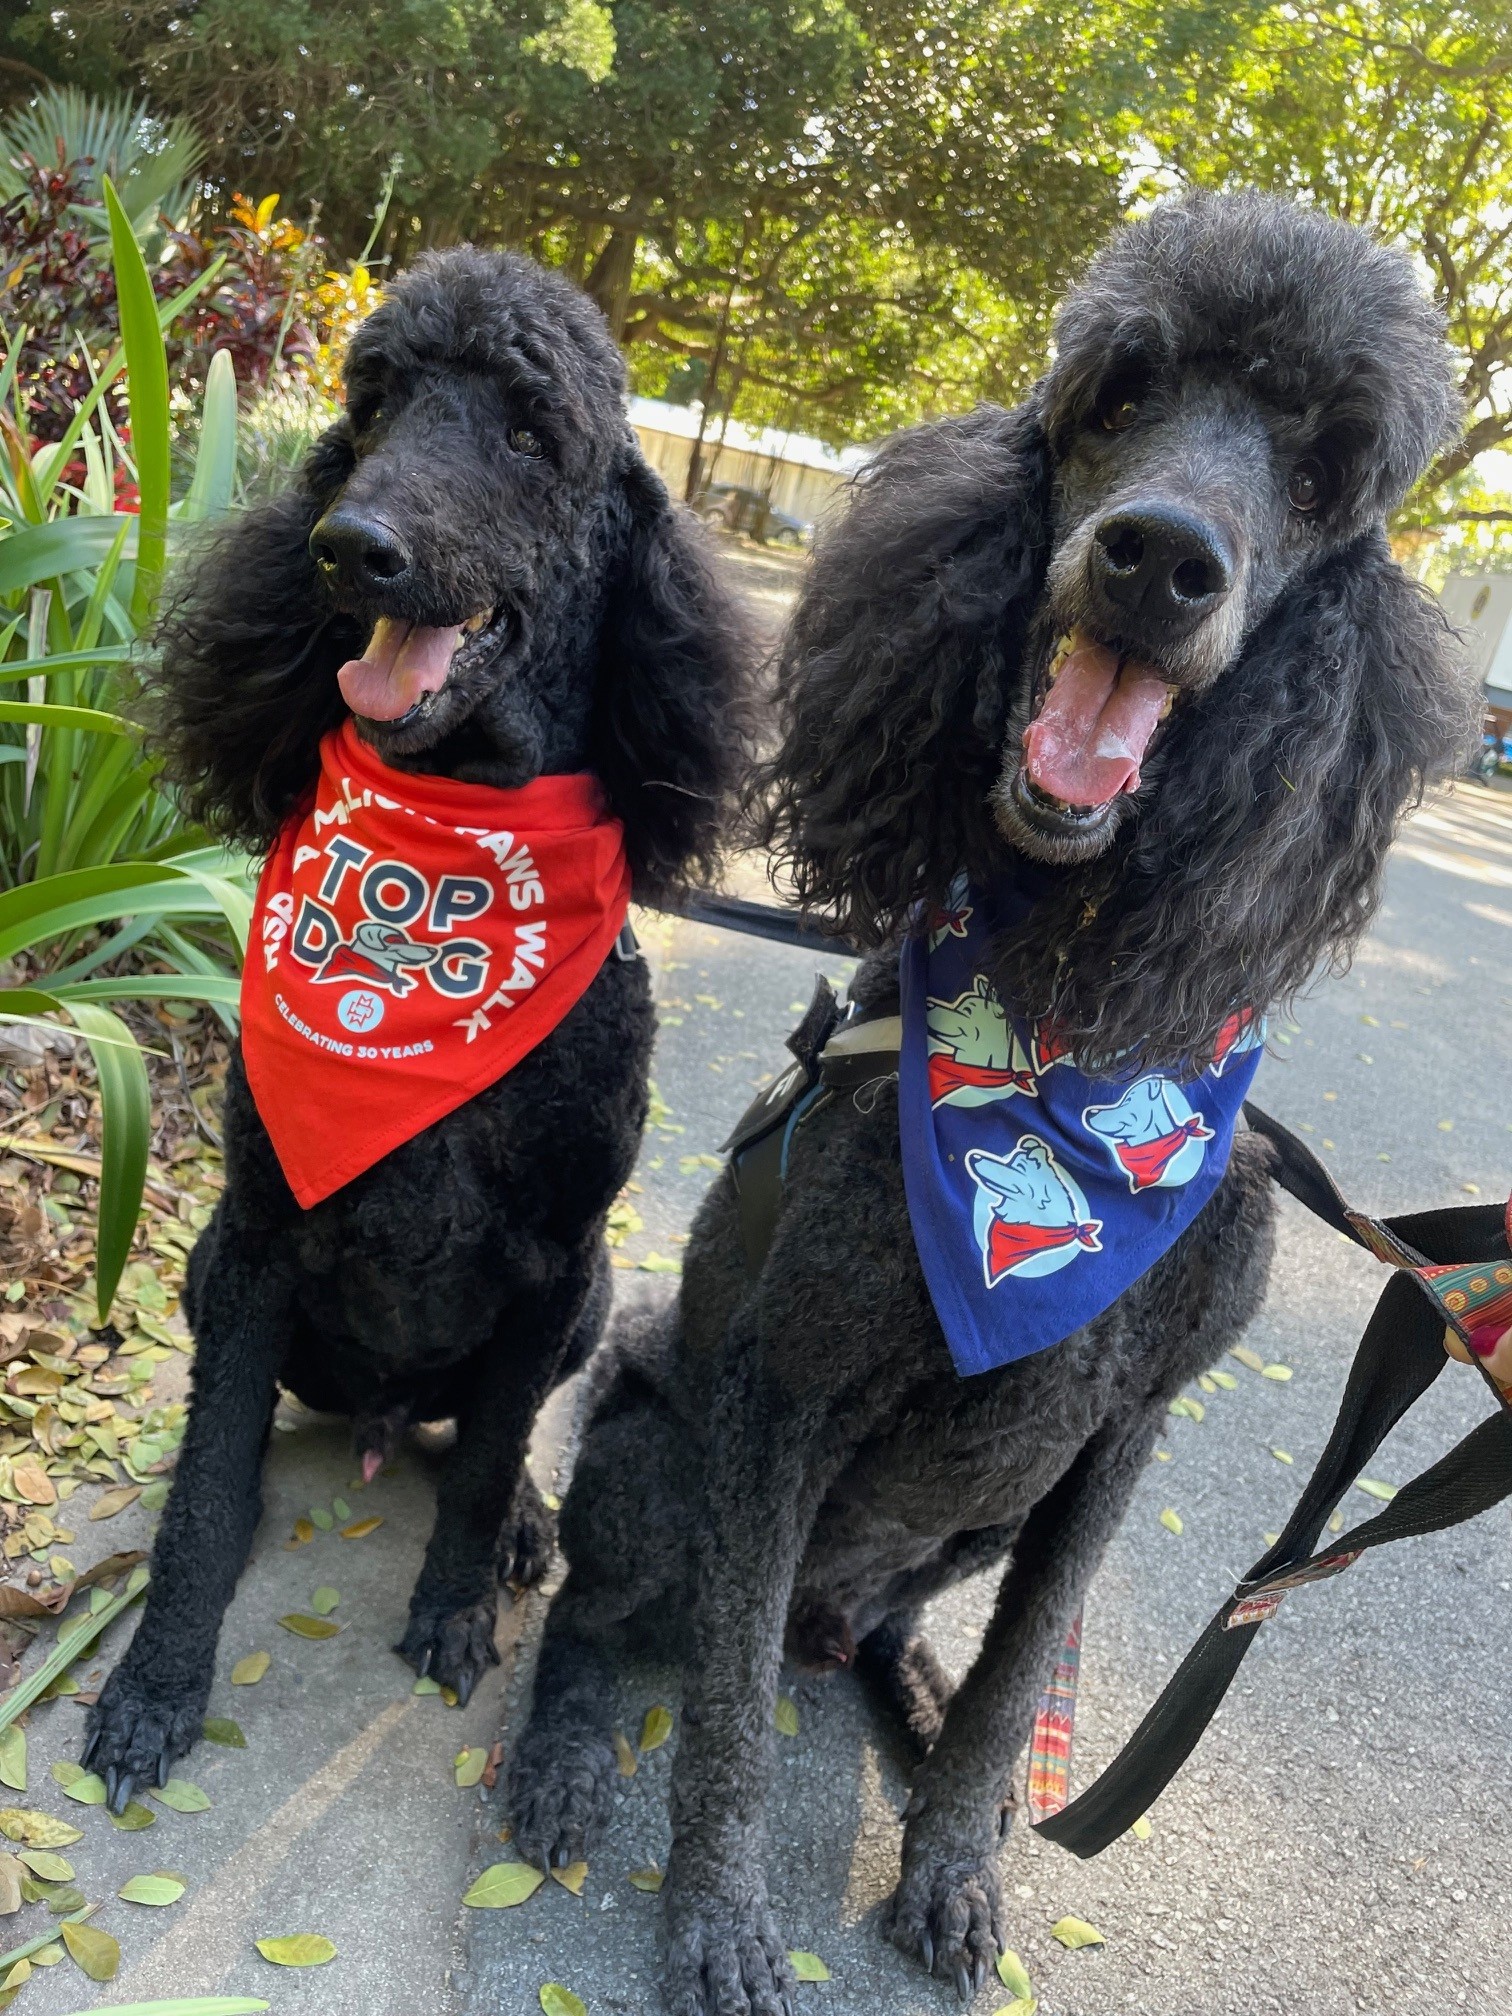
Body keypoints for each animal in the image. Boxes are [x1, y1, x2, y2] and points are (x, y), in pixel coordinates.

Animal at [80, 247, 750, 1812]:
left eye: (529, 433)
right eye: (373, 406)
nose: (352, 548)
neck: (445, 847)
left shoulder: (549, 1262)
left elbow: (498, 1450)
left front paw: (457, 1600)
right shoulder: (260, 1236)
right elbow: (206, 1483)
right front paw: (157, 1685)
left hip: (582, 1304)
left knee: (491, 1448)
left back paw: (519, 1529)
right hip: (208, 1271)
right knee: (243, 1423)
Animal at [504, 192, 1477, 2014]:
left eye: (1323, 467)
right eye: (1121, 390)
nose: (1162, 558)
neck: (1065, 1031)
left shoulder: (1114, 1440)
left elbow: (1033, 1669)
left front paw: (955, 1857)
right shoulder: (780, 1406)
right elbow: (726, 1717)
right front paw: (718, 1920)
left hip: (968, 1524)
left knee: (889, 1636)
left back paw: (916, 1695)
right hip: (659, 1466)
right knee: (614, 1625)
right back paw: (563, 1750)